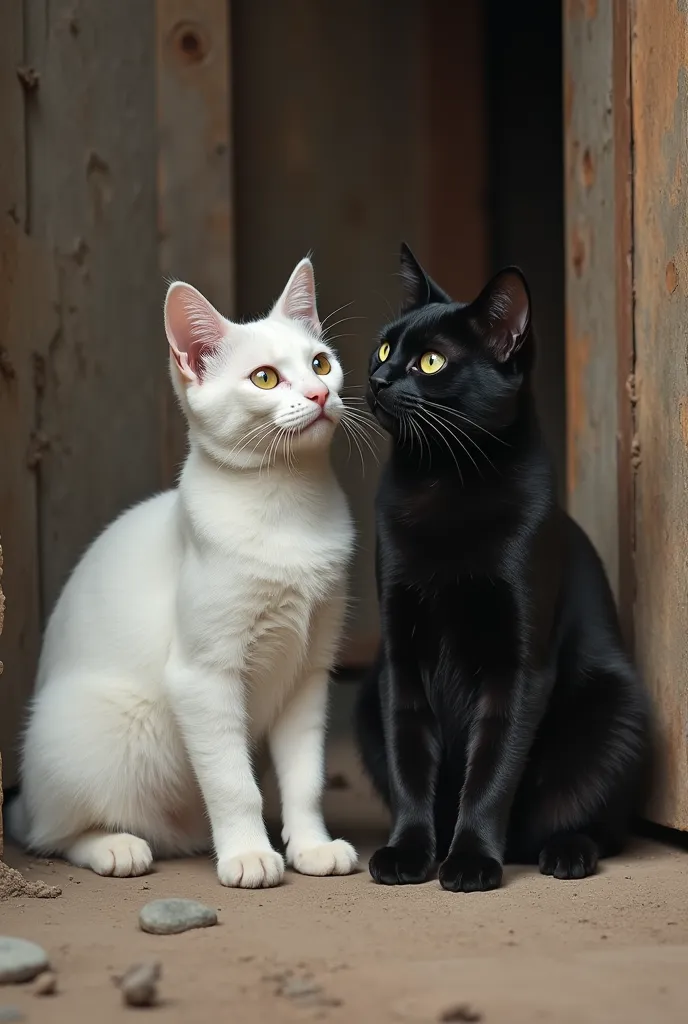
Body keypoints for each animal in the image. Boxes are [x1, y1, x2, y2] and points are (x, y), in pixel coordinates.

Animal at [8, 258, 358, 888]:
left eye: (320, 363)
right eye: (265, 378)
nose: (321, 393)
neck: (287, 507)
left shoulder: (310, 672)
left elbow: (306, 777)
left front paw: (311, 845)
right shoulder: (203, 676)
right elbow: (234, 783)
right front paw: (248, 854)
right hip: (97, 729)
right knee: (50, 833)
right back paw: (116, 846)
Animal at [354, 243, 651, 892]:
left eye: (432, 361)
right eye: (384, 349)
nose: (378, 379)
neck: (443, 483)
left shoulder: (519, 666)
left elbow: (491, 768)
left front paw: (469, 860)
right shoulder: (398, 660)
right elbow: (410, 760)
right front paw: (409, 852)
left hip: (617, 706)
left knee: (596, 824)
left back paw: (565, 851)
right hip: (365, 694)